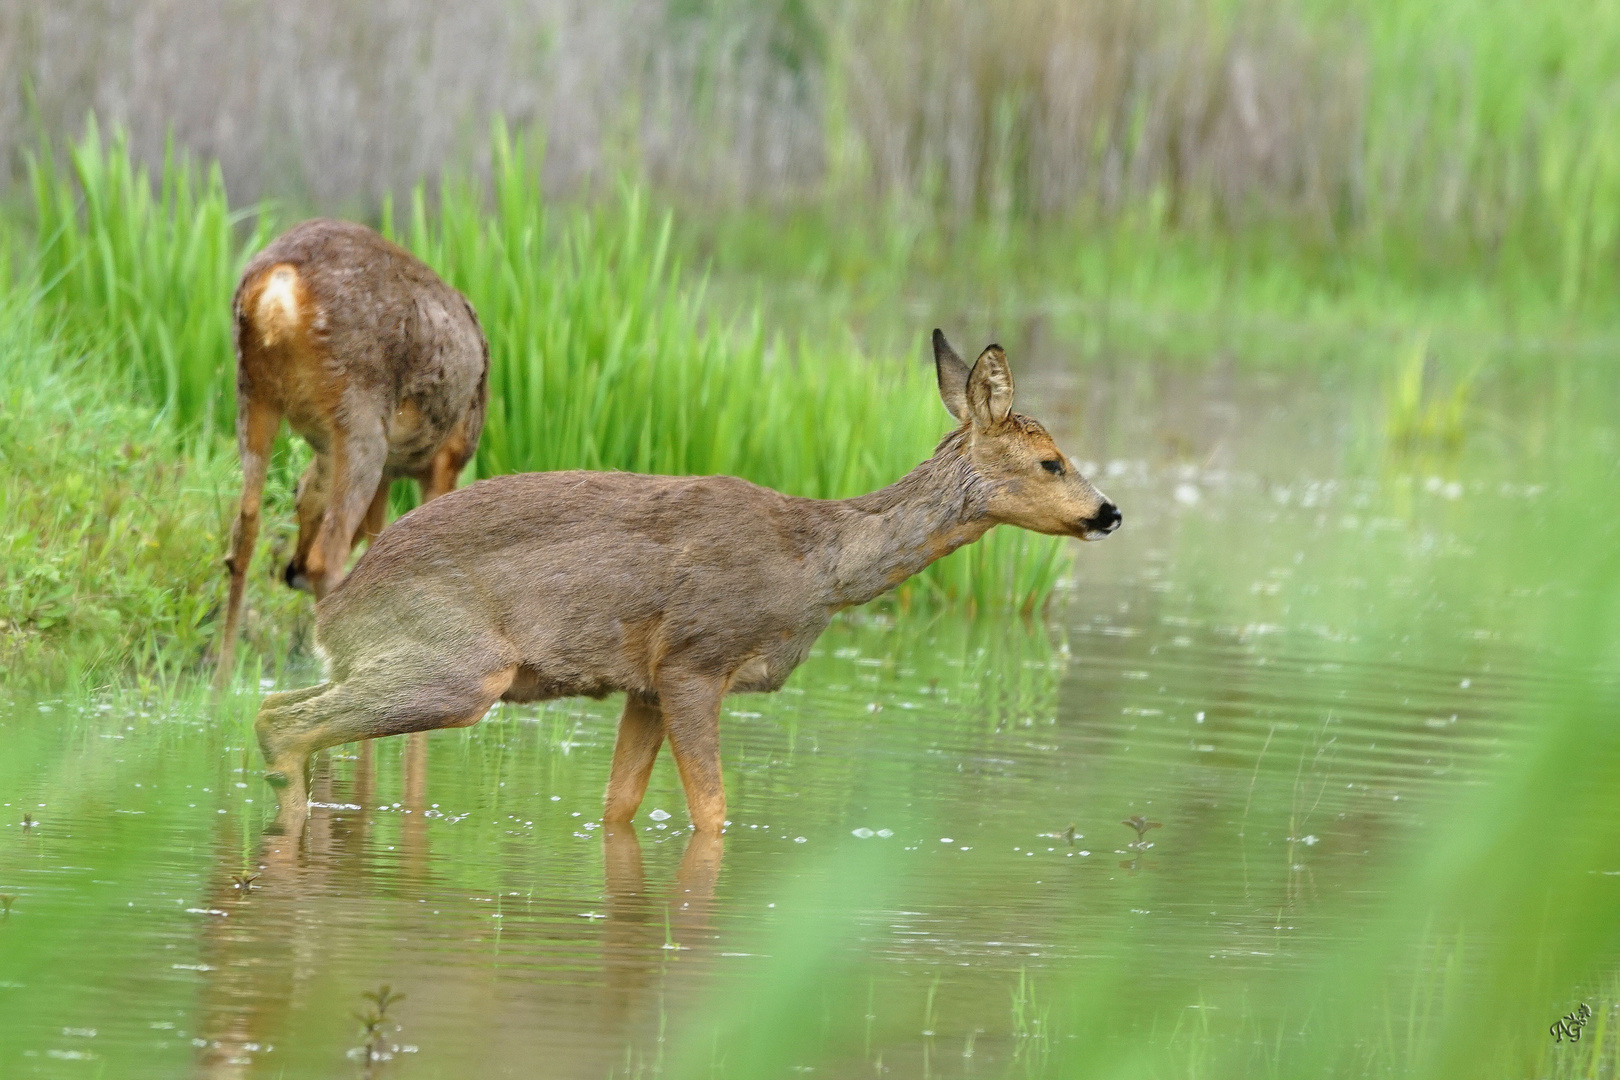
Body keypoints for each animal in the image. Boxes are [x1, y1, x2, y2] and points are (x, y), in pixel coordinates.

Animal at [218, 218, 489, 683]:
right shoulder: (445, 459)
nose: (289, 572)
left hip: (254, 395)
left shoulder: (384, 471)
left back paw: (219, 686)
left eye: (297, 494)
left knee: (244, 531)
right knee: (328, 558)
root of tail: (278, 286)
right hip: (361, 414)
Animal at [259, 333, 1121, 835]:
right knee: (289, 724)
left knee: (271, 707)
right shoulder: (695, 660)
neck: (818, 569)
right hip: (460, 667)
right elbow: (713, 813)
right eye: (1051, 461)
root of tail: (338, 611)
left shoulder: (643, 685)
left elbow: (617, 808)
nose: (1109, 512)